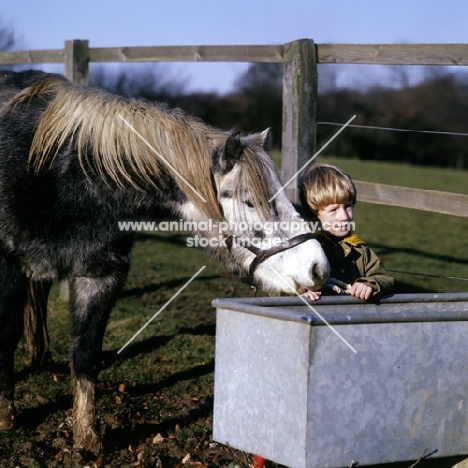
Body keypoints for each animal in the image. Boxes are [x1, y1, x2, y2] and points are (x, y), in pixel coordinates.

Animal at [0, 69, 330, 454]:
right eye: (250, 201)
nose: (317, 267)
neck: (62, 176)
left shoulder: (102, 276)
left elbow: (85, 353)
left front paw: (86, 436)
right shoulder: (8, 267)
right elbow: (7, 335)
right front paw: (6, 416)